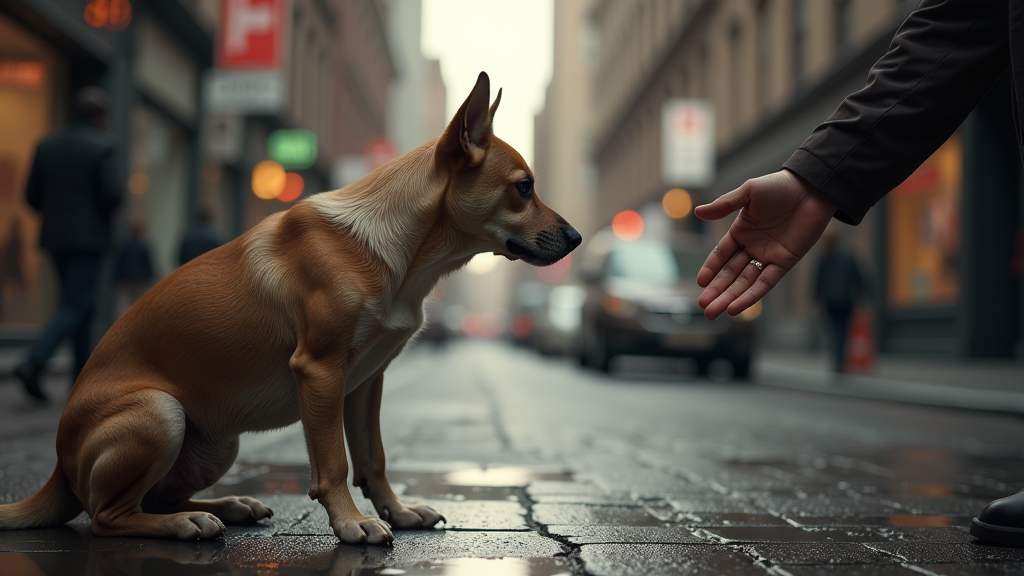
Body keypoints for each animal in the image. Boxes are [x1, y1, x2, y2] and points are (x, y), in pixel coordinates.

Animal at [0, 72, 581, 541]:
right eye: (523, 188)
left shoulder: (366, 382)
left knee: (153, 498)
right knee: (108, 516)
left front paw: (396, 512)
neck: (396, 252)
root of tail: (57, 468)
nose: (576, 238)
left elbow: (373, 458)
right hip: (161, 413)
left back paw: (225, 506)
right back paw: (183, 524)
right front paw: (351, 523)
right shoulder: (320, 373)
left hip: (217, 443)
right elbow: (334, 464)